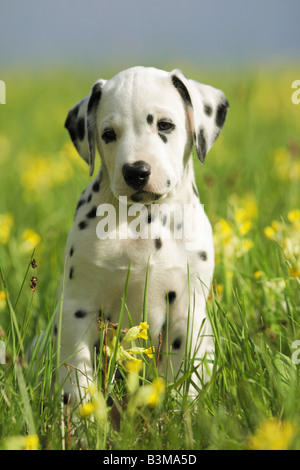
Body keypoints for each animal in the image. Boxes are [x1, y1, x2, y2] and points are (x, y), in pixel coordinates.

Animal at [55, 66, 230, 404]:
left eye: (165, 125)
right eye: (109, 134)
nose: (136, 171)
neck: (143, 222)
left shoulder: (186, 311)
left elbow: (182, 376)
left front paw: (180, 411)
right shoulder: (78, 307)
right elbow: (78, 376)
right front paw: (81, 415)